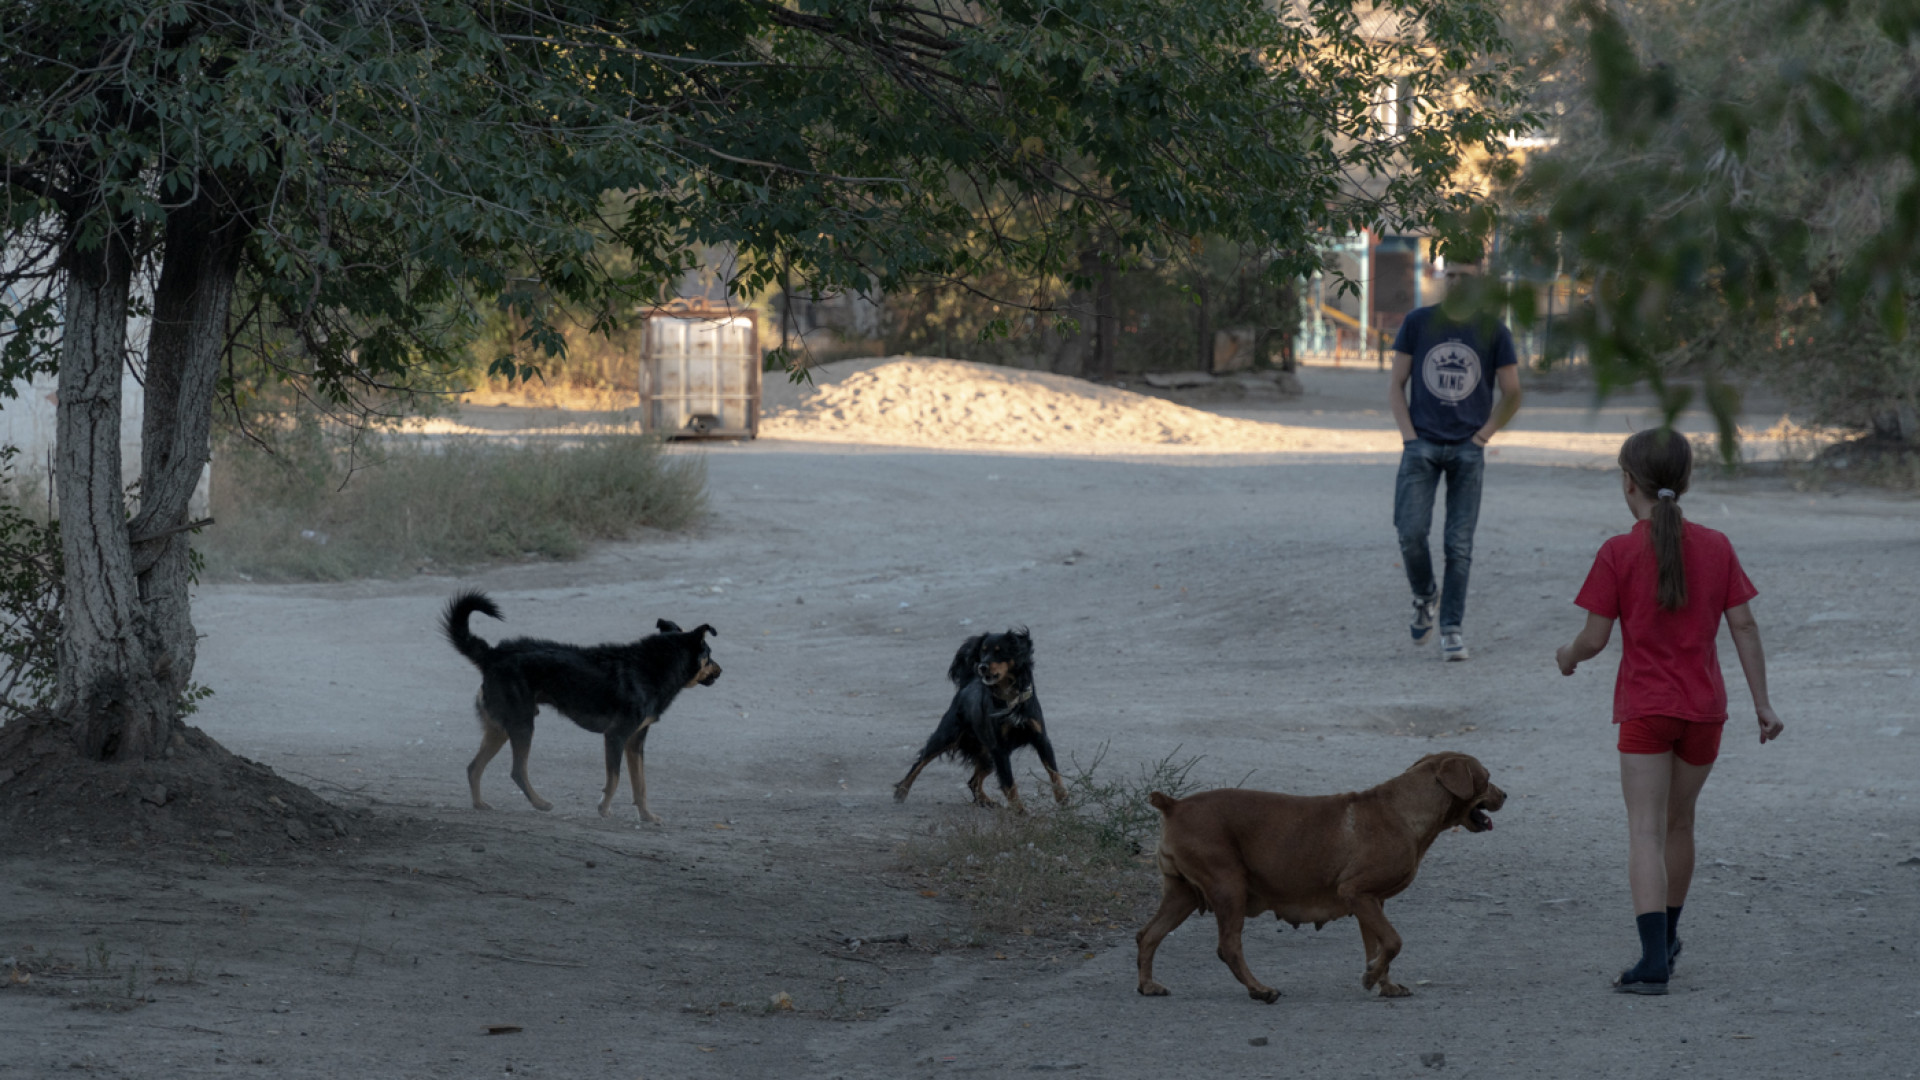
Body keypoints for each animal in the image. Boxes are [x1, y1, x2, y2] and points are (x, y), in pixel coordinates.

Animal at [441, 588, 721, 814]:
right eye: (709, 655)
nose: (721, 671)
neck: (654, 666)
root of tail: (492, 655)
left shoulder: (635, 742)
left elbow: (640, 785)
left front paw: (647, 817)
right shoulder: (616, 736)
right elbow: (614, 780)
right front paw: (604, 810)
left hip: (501, 728)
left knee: (474, 768)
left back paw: (479, 804)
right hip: (522, 724)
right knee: (517, 771)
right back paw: (540, 803)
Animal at [890, 626, 1075, 810]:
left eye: (1000, 652)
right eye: (983, 652)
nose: (982, 666)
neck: (1009, 698)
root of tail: (968, 683)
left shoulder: (1040, 738)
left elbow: (1053, 771)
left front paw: (1062, 798)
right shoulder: (1000, 749)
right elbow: (1009, 783)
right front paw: (1020, 811)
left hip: (987, 755)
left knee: (972, 781)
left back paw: (986, 801)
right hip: (947, 735)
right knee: (920, 762)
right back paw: (901, 790)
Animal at [1136, 749, 1497, 999]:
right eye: (1487, 776)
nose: (1505, 794)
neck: (1406, 809)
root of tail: (1173, 805)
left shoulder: (1371, 902)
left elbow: (1378, 948)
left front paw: (1383, 983)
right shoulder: (1356, 893)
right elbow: (1394, 942)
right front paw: (1371, 978)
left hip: (1182, 895)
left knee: (1148, 934)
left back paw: (1147, 985)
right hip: (1228, 887)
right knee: (1228, 947)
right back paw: (1260, 990)